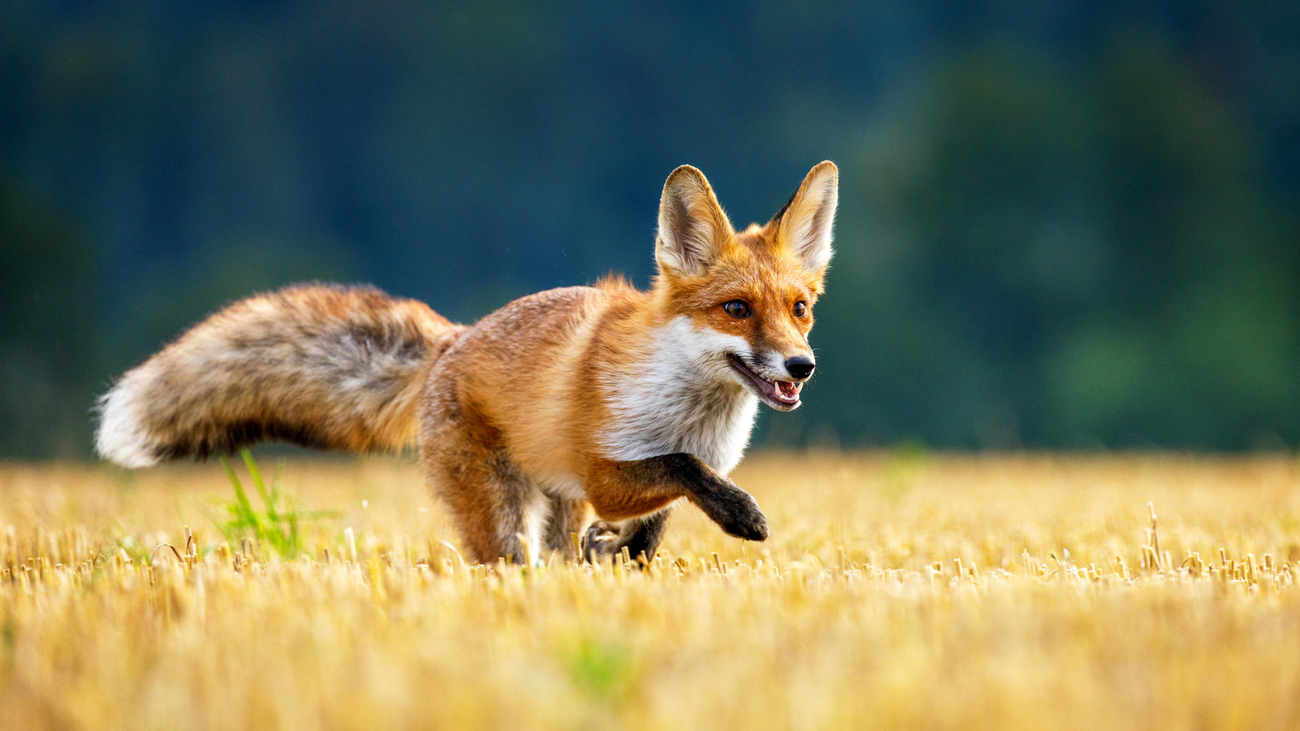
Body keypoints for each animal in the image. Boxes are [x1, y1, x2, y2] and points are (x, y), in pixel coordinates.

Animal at [96, 161, 837, 564]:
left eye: (799, 308)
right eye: (736, 308)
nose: (800, 365)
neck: (691, 410)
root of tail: (453, 339)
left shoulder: (631, 485)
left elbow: (656, 523)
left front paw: (624, 554)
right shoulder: (605, 472)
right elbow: (681, 470)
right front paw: (741, 515)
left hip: (553, 503)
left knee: (558, 553)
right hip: (503, 515)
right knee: (510, 564)